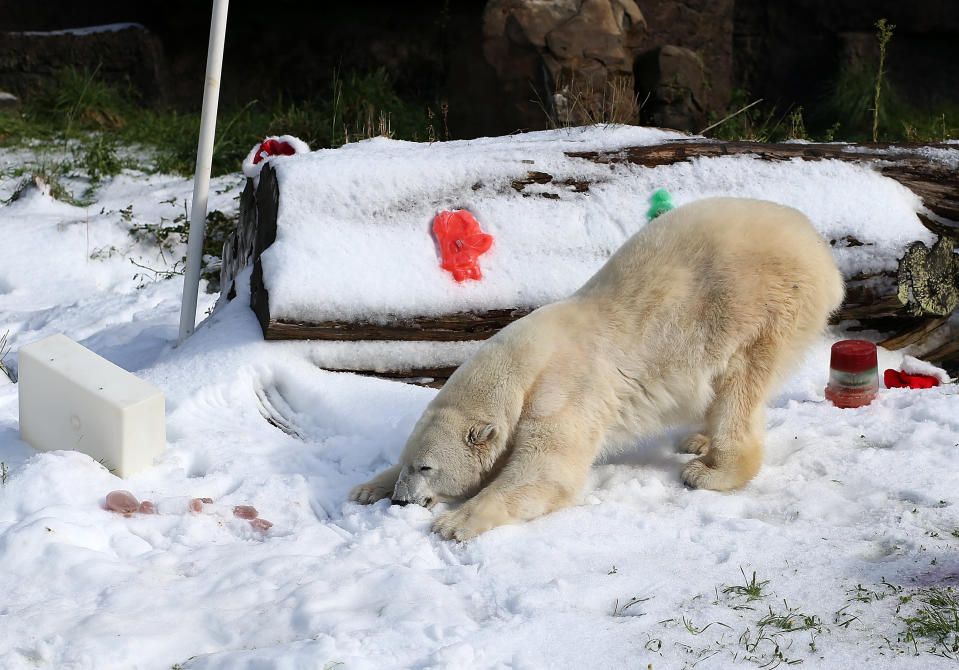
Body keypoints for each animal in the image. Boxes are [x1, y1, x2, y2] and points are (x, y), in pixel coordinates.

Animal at [348, 198, 844, 540]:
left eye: (427, 467)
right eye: (408, 462)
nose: (401, 501)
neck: (520, 367)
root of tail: (818, 246)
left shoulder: (563, 391)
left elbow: (547, 471)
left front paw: (454, 522)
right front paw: (366, 488)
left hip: (756, 309)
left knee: (739, 387)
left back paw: (711, 470)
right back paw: (697, 439)